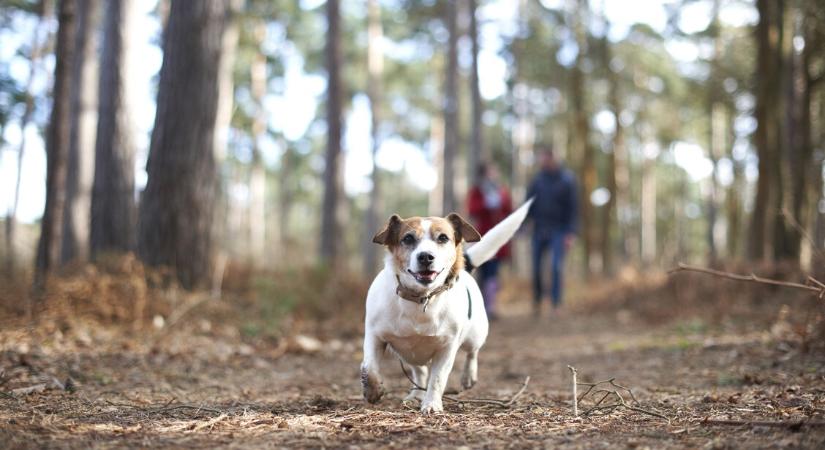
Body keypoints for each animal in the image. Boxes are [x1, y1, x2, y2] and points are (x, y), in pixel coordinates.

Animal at [362, 199, 536, 414]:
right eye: (408, 238)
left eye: (443, 238)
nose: (426, 256)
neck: (422, 299)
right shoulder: (374, 335)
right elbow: (369, 367)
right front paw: (373, 390)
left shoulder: (447, 347)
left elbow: (437, 379)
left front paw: (432, 404)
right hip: (408, 355)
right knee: (420, 372)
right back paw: (415, 395)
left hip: (476, 334)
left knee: (472, 353)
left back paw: (468, 376)